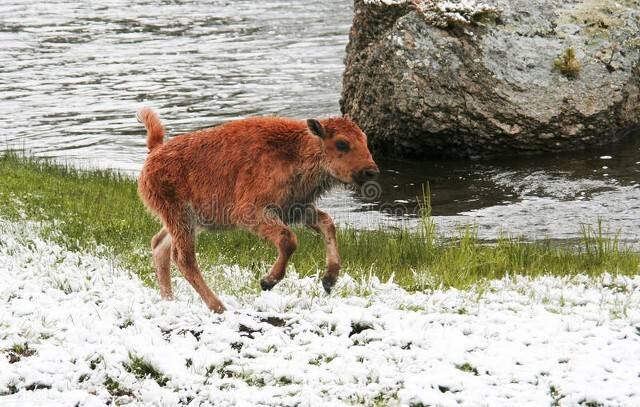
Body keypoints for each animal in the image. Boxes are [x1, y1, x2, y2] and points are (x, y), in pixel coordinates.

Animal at [138, 107, 378, 312]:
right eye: (342, 143)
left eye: (365, 140)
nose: (371, 171)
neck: (295, 151)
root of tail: (155, 152)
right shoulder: (252, 213)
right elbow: (288, 240)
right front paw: (267, 282)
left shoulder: (296, 209)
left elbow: (327, 224)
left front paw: (329, 280)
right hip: (181, 217)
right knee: (184, 259)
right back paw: (218, 307)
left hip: (190, 221)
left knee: (160, 245)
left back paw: (169, 301)